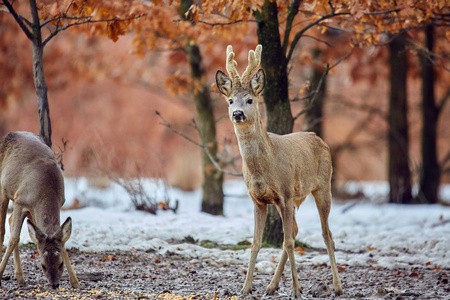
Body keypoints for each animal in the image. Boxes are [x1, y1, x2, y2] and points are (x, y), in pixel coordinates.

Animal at [0, 131, 80, 288]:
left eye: (60, 264)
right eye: (43, 265)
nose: (54, 284)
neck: (46, 190)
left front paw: (75, 282)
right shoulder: (20, 200)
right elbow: (13, 238)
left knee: (10, 220)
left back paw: (20, 277)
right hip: (4, 190)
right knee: (3, 229)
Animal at [216, 44, 342, 298]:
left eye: (250, 100)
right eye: (231, 100)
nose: (237, 114)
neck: (263, 166)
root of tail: (319, 138)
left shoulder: (284, 194)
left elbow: (288, 242)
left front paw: (295, 290)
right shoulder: (258, 200)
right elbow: (256, 243)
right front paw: (245, 288)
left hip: (323, 187)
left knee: (327, 235)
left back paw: (337, 286)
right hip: (294, 198)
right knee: (296, 230)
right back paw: (272, 285)